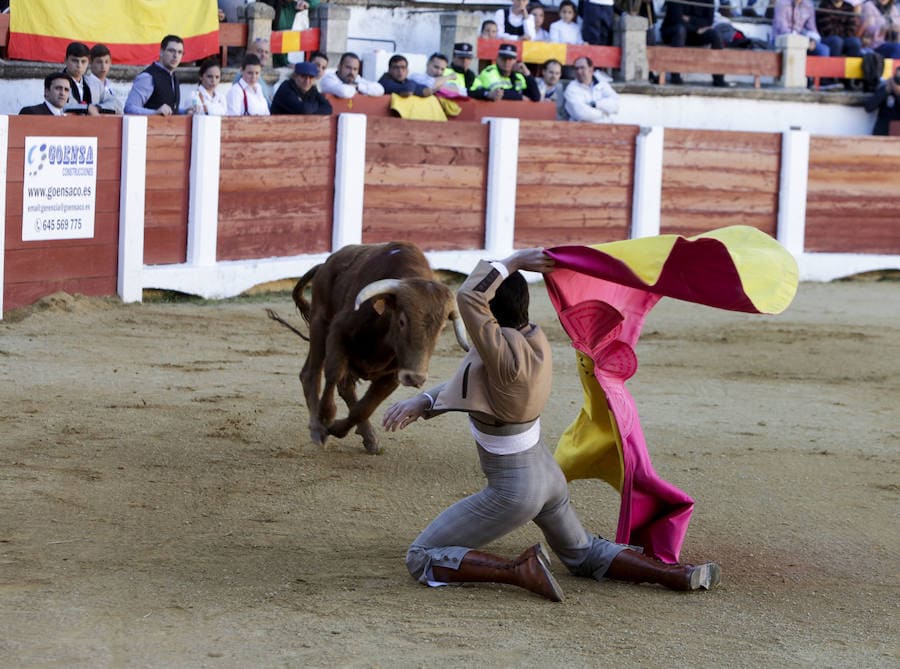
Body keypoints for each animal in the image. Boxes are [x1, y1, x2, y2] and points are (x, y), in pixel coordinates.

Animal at [266, 240, 468, 454]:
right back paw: (316, 428)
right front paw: (326, 419)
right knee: (311, 374)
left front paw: (337, 428)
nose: (415, 377)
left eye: (441, 328)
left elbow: (364, 408)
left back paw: (368, 437)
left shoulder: (393, 375)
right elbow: (333, 374)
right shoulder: (338, 332)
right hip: (319, 324)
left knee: (345, 388)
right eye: (402, 321)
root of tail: (324, 265)